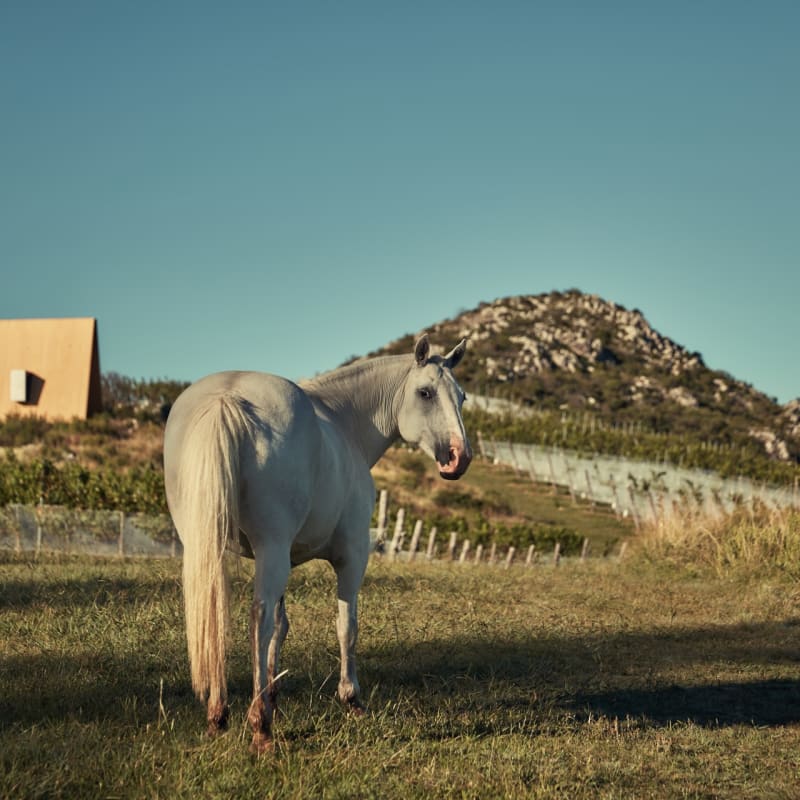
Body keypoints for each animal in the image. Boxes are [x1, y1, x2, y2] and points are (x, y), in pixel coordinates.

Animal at [163, 334, 472, 753]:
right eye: (425, 392)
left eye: (462, 397)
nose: (459, 458)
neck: (344, 424)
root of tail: (227, 398)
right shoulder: (351, 556)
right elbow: (346, 625)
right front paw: (350, 698)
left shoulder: (283, 560)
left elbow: (281, 627)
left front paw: (273, 697)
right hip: (270, 547)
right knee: (256, 618)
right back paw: (259, 728)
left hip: (208, 546)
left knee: (215, 613)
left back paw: (219, 715)